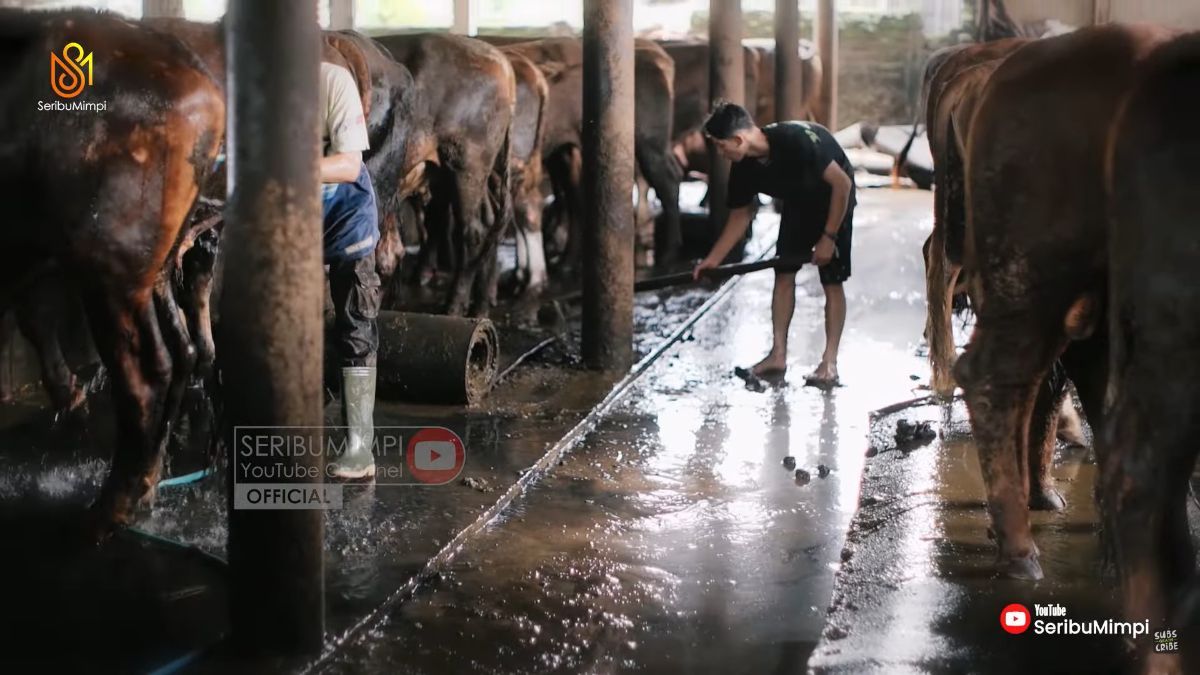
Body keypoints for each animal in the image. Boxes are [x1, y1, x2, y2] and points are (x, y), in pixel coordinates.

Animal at [374, 30, 516, 312]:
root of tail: (501, 62)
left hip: (466, 164)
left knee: (473, 232)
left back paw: (454, 305)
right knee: (489, 222)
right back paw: (482, 303)